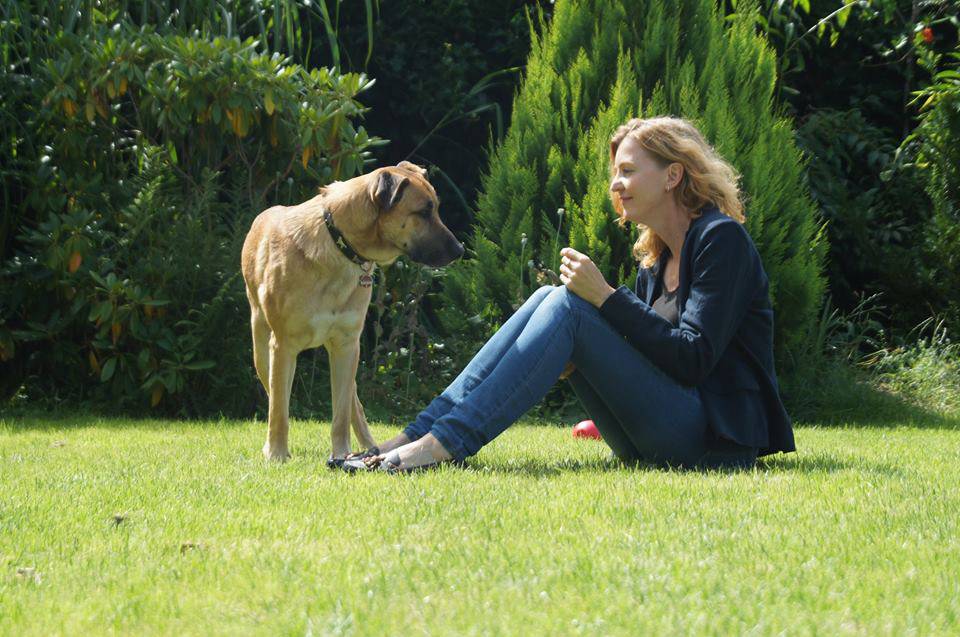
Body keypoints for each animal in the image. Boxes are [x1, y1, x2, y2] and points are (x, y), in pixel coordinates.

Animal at [242, 163, 464, 462]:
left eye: (436, 208)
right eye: (424, 212)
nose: (460, 250)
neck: (340, 245)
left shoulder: (347, 346)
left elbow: (340, 415)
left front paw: (341, 454)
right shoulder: (283, 346)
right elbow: (279, 410)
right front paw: (276, 454)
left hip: (346, 360)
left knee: (353, 406)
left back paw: (369, 447)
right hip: (262, 349)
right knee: (277, 396)